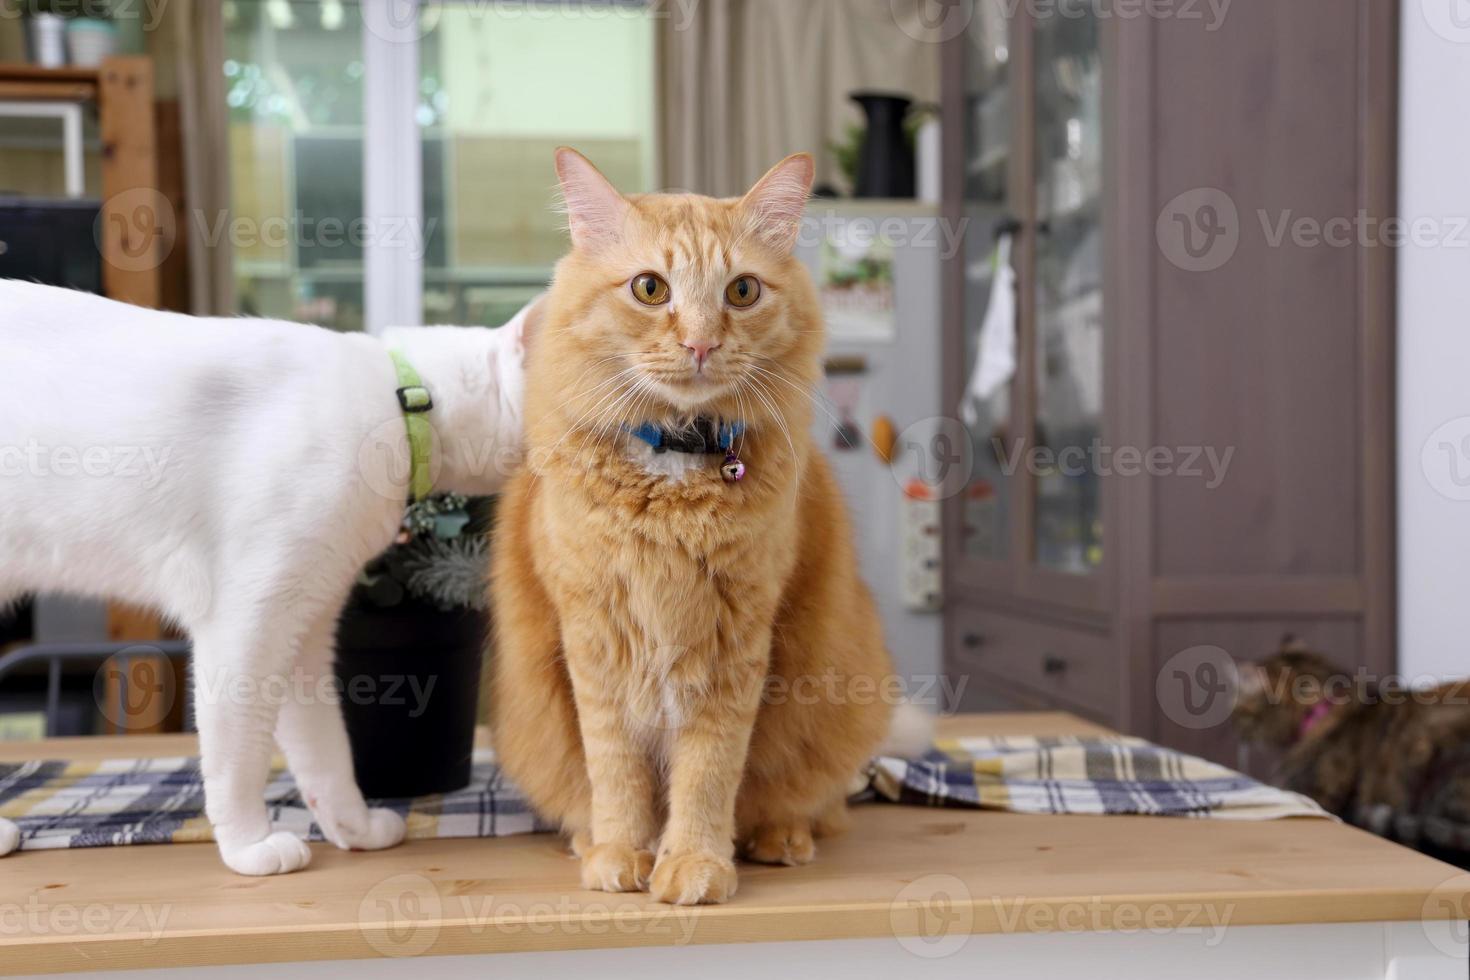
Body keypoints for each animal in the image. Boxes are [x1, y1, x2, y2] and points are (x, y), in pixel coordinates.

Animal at [0, 279, 538, 875]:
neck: (404, 404)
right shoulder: (246, 624)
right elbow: (238, 757)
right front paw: (248, 846)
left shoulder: (306, 621)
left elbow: (326, 749)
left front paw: (354, 828)